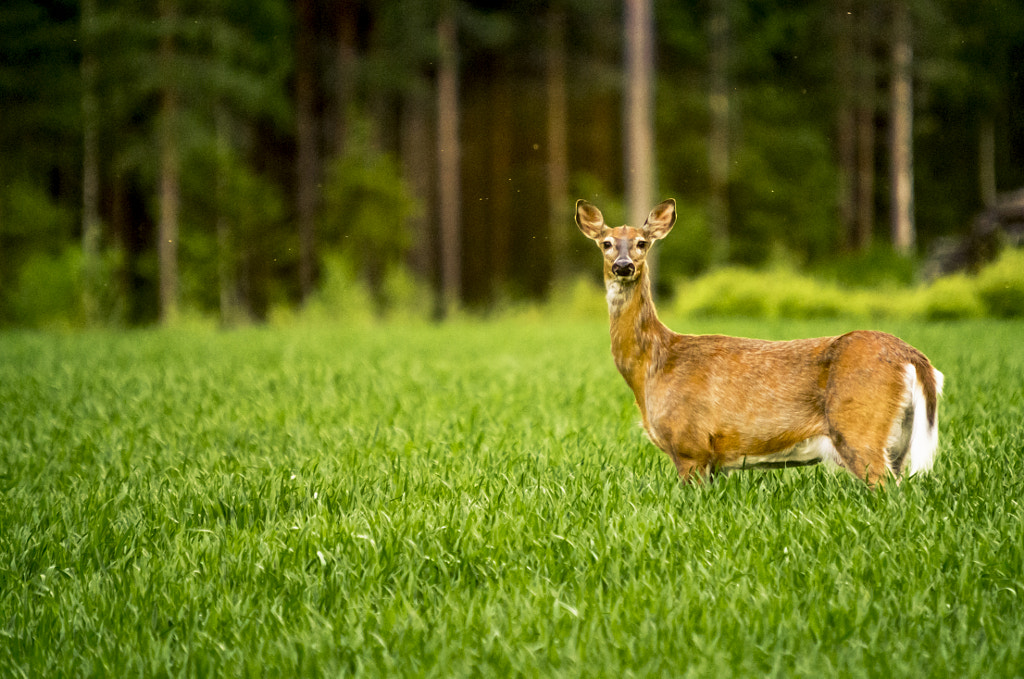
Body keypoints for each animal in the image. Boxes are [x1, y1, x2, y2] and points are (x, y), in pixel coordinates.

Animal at [575, 198, 943, 487]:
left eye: (642, 243)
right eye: (606, 243)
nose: (624, 266)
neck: (655, 365)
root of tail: (911, 356)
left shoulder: (690, 445)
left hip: (859, 427)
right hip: (898, 441)